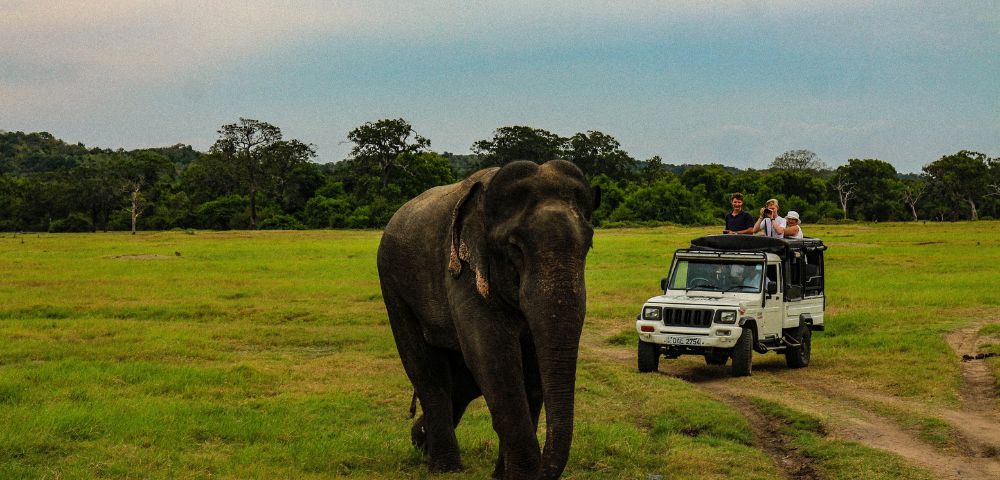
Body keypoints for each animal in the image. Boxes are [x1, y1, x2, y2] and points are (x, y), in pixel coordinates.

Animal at [377, 160, 599, 479]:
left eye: (588, 246)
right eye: (515, 248)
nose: (542, 470)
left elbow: (530, 367)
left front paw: (502, 475)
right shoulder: (464, 273)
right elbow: (492, 356)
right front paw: (520, 476)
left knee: (461, 381)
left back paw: (420, 440)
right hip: (392, 285)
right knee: (427, 370)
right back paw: (445, 467)